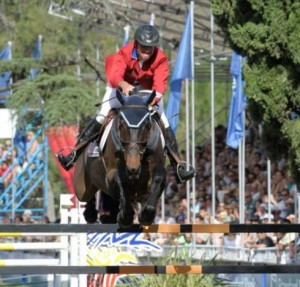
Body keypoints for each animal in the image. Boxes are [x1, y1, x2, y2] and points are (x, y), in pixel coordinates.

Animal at [73, 90, 166, 227]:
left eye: (147, 125)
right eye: (121, 124)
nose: (133, 168)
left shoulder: (157, 171)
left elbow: (158, 179)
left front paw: (146, 215)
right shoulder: (111, 175)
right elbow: (120, 181)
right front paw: (125, 217)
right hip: (81, 186)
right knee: (88, 195)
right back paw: (91, 214)